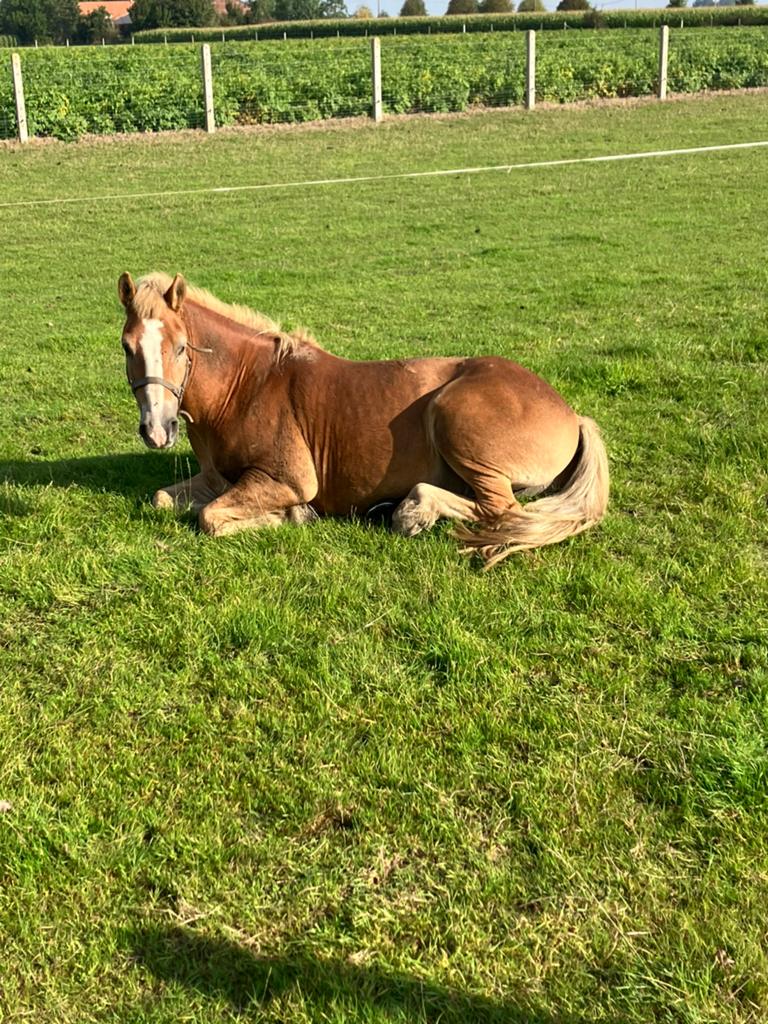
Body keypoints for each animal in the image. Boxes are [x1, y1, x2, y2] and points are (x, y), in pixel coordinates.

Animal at [118, 271, 609, 568]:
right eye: (126, 346)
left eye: (181, 347)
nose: (157, 430)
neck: (246, 388)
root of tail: (572, 415)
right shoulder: (216, 479)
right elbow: (162, 499)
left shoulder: (286, 479)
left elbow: (210, 518)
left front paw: (293, 515)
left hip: (456, 425)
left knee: (501, 510)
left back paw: (413, 512)